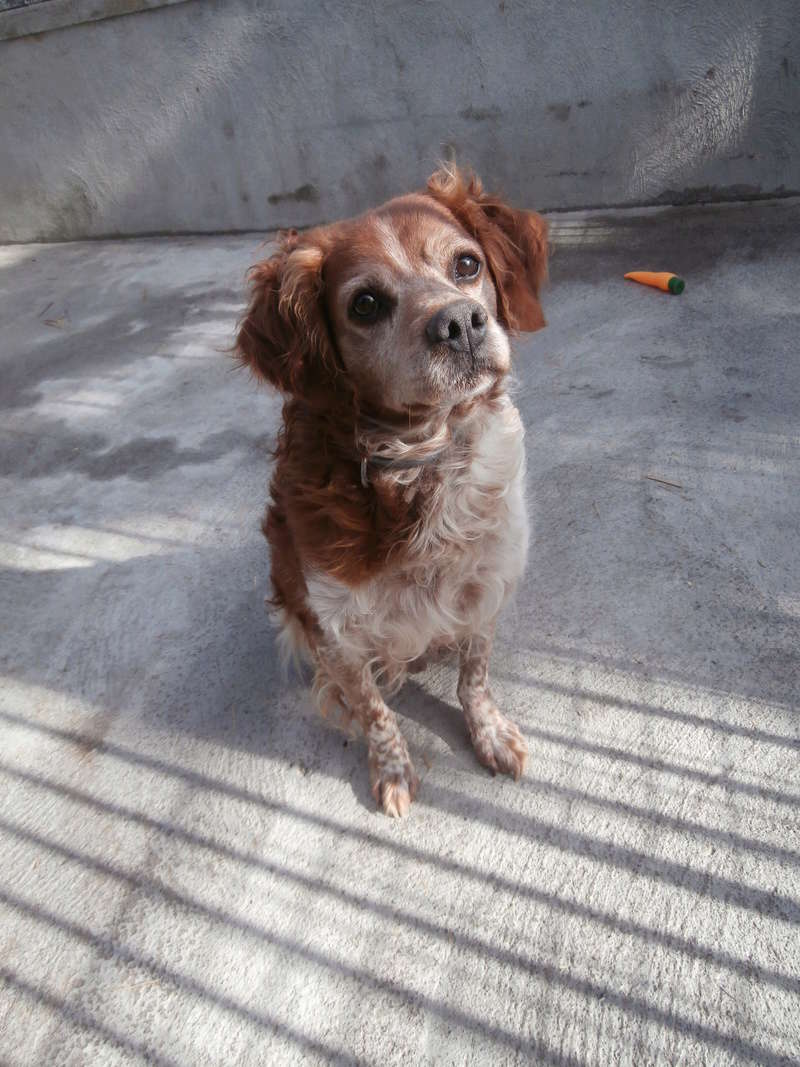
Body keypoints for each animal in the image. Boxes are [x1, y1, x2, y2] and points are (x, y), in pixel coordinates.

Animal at [237, 166, 550, 815]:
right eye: (365, 304)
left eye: (466, 265)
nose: (459, 323)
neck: (421, 464)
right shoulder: (337, 634)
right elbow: (374, 710)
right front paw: (393, 770)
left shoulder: (487, 585)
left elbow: (474, 676)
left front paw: (488, 734)